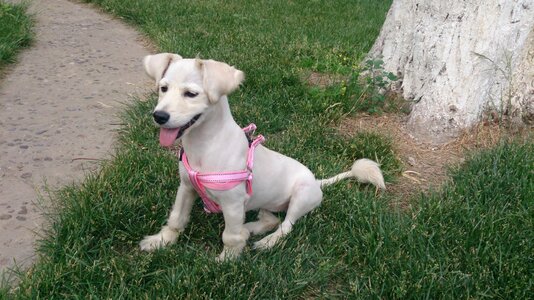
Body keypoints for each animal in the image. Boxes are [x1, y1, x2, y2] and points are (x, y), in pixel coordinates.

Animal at [140, 52, 388, 262]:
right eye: (163, 88)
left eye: (191, 94)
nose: (159, 116)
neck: (205, 146)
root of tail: (317, 182)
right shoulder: (186, 187)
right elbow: (177, 218)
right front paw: (161, 241)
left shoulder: (232, 203)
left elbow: (230, 236)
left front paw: (227, 260)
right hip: (265, 202)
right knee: (271, 219)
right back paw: (249, 228)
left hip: (301, 197)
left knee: (286, 225)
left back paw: (266, 242)